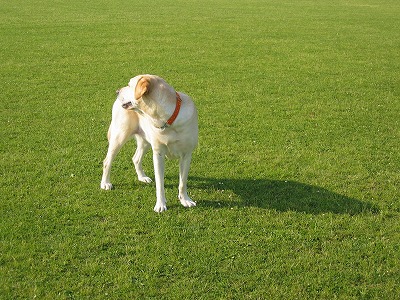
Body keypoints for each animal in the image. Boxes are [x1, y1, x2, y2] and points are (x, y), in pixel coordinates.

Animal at [100, 74, 198, 212]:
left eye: (130, 85)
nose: (117, 91)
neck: (168, 120)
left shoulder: (186, 155)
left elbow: (183, 182)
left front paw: (185, 200)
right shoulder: (158, 154)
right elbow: (160, 183)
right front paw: (161, 205)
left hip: (145, 140)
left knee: (135, 158)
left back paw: (142, 177)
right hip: (119, 137)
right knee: (107, 161)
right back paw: (105, 183)